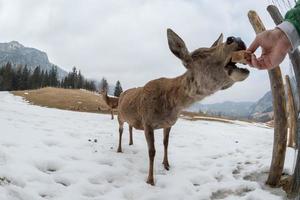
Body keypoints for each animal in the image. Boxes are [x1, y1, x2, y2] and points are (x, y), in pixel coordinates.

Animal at [116, 28, 250, 185]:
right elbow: (152, 151)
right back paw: (119, 149)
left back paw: (131, 143)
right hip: (119, 115)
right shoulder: (147, 121)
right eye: (200, 55)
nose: (235, 39)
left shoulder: (168, 124)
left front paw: (166, 164)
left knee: (130, 126)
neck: (171, 105)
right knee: (120, 130)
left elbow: (166, 143)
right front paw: (150, 180)